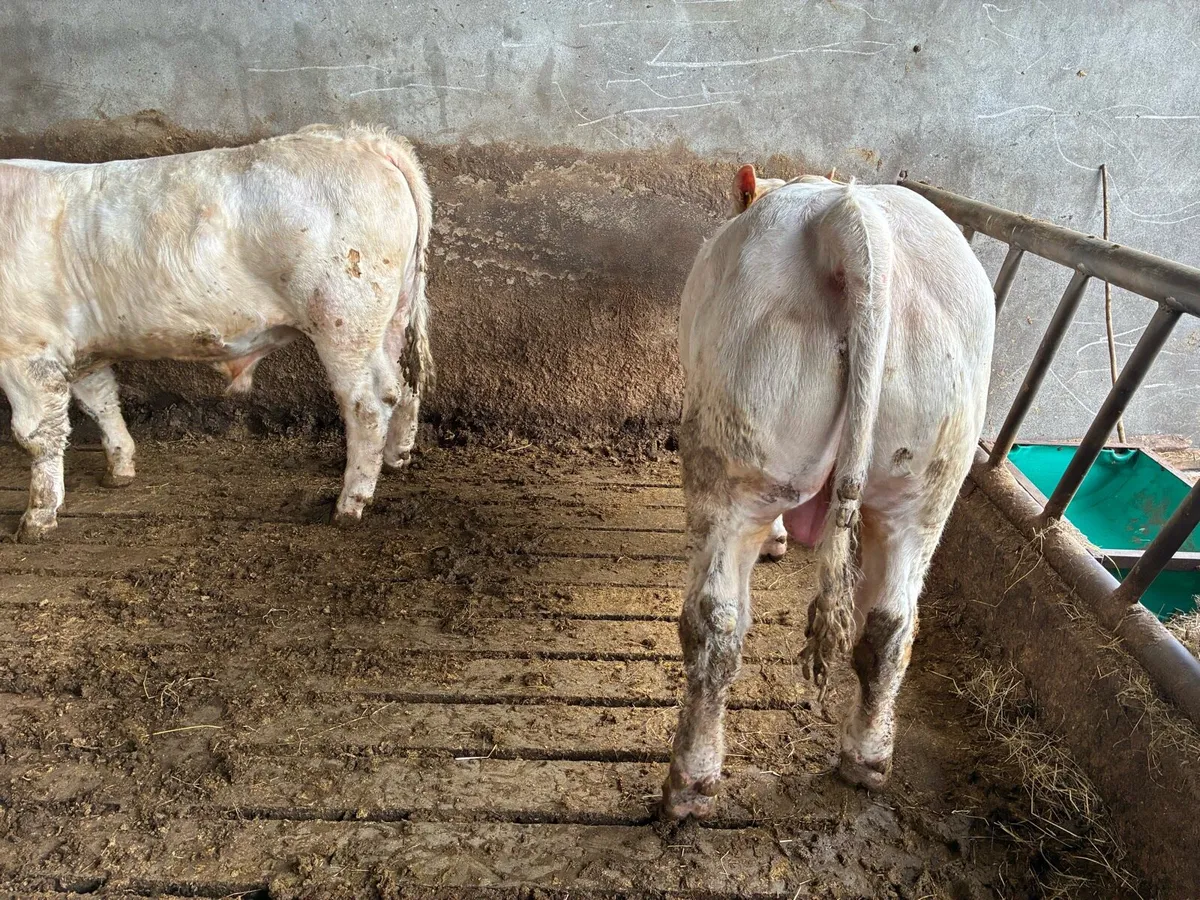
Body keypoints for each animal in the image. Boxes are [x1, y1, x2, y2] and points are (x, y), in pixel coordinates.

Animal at [0, 124, 433, 541]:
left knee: (368, 405)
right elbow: (101, 402)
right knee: (402, 385)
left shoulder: (25, 350)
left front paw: (38, 516)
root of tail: (358, 138)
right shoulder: (80, 348)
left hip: (342, 320)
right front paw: (120, 467)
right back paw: (394, 458)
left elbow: (35, 433)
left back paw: (349, 504)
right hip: (391, 316)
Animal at [662, 165, 994, 819]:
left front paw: (778, 543)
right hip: (928, 482)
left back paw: (689, 782)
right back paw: (866, 758)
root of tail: (851, 219)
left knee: (715, 625)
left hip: (734, 452)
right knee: (890, 625)